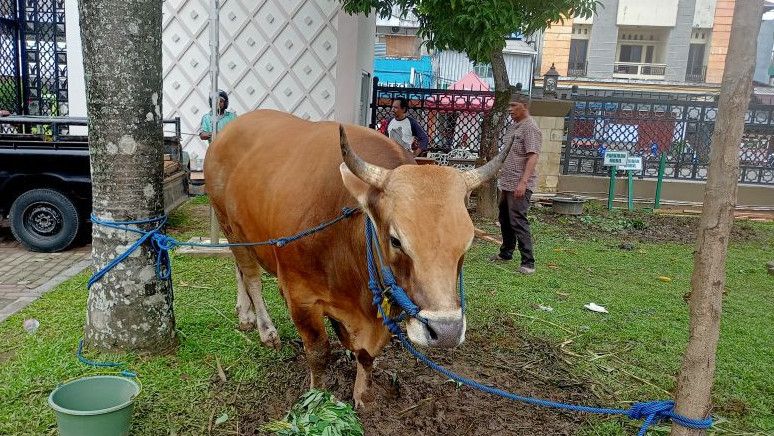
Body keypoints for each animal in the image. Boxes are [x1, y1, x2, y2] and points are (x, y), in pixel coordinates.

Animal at [206, 110, 510, 406]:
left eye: (466, 244)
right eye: (396, 240)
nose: (445, 331)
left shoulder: (389, 302)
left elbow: (366, 353)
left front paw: (362, 394)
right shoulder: (300, 297)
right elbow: (318, 351)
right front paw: (317, 396)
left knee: (239, 269)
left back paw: (244, 313)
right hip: (230, 226)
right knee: (251, 277)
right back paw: (265, 328)